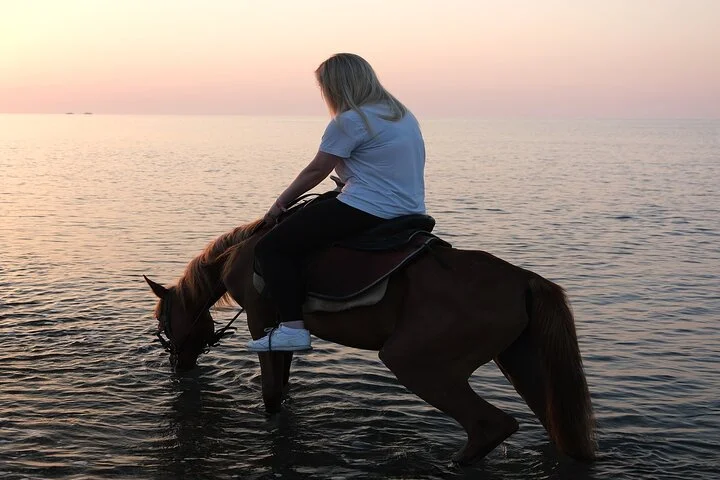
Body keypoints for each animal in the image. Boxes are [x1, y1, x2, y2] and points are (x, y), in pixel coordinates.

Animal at [144, 215, 596, 464]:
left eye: (162, 320)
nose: (176, 364)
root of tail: (524, 280)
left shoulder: (260, 319)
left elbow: (272, 392)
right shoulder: (280, 330)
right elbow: (283, 386)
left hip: (416, 363)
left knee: (491, 425)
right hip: (523, 363)